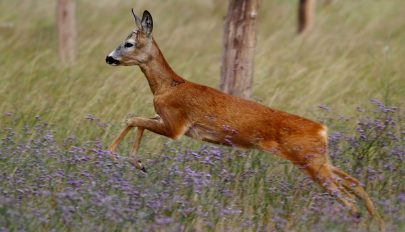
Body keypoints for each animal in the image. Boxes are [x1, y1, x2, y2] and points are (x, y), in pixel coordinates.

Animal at [105, 9, 380, 219]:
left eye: (129, 43)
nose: (108, 57)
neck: (167, 87)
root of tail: (322, 130)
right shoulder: (166, 121)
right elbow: (138, 122)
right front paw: (138, 163)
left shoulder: (176, 126)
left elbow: (133, 119)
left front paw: (115, 154)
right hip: (319, 159)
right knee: (355, 183)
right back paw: (376, 220)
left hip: (310, 161)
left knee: (348, 199)